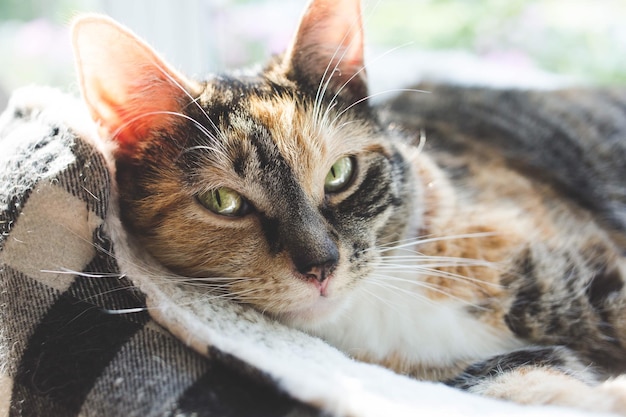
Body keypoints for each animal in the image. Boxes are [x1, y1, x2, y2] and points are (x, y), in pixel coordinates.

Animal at [70, 0, 624, 412]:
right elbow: (529, 377)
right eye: (223, 201)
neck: (380, 304)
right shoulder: (467, 373)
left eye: (340, 174)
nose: (321, 266)